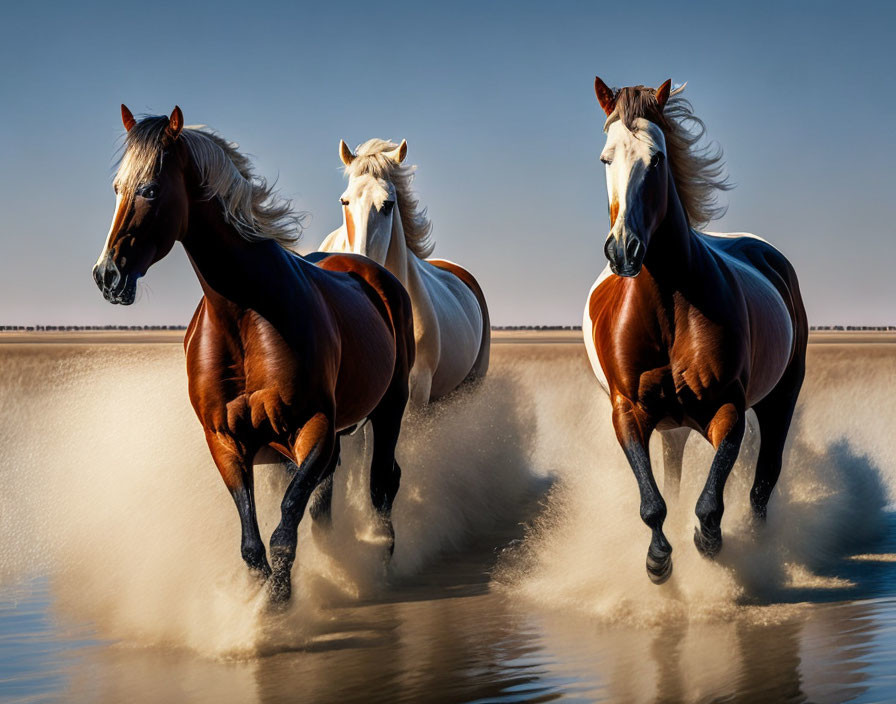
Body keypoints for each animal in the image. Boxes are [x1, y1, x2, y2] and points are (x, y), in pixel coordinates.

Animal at [93, 107, 414, 604]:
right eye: (116, 188)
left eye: (149, 189)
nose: (107, 276)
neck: (245, 313)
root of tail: (372, 272)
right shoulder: (225, 440)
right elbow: (253, 543)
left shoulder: (314, 428)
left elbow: (284, 530)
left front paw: (278, 608)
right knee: (327, 502)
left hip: (389, 408)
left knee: (382, 482)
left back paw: (379, 561)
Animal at [584, 78, 808, 584]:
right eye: (606, 158)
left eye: (657, 158)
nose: (623, 249)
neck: (668, 307)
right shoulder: (627, 411)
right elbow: (653, 502)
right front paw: (658, 562)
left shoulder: (728, 406)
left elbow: (710, 504)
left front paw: (708, 544)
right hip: (672, 426)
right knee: (674, 476)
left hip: (781, 397)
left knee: (764, 482)